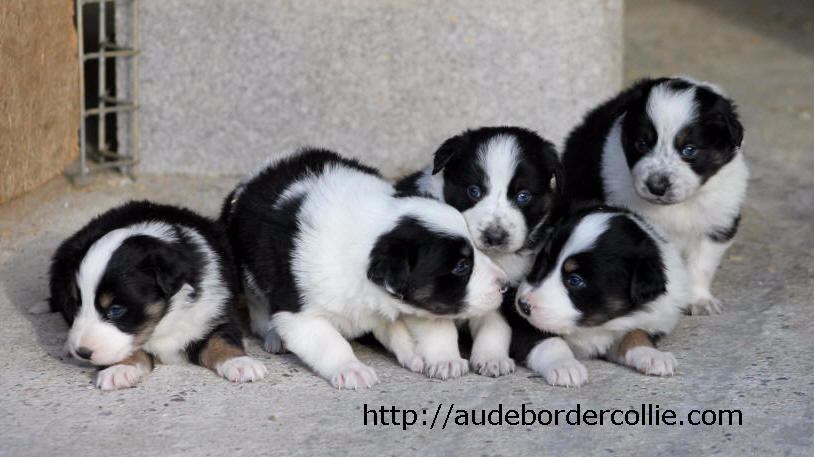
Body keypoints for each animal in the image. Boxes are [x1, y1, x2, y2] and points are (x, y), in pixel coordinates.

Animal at [48, 201, 268, 390]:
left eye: (116, 310)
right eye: (76, 304)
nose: (83, 352)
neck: (164, 322)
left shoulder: (215, 309)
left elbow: (222, 338)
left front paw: (241, 363)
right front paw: (119, 369)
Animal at [220, 150, 506, 388]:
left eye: (476, 250)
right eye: (461, 266)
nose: (504, 285)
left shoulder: (394, 306)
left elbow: (406, 331)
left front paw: (427, 357)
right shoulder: (300, 315)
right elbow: (329, 343)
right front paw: (352, 369)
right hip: (251, 275)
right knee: (259, 310)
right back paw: (273, 335)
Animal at [396, 126, 564, 376]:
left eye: (523, 196)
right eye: (474, 191)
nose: (495, 236)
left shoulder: (504, 291)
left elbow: (495, 325)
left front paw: (493, 359)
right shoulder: (421, 290)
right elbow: (438, 324)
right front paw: (446, 361)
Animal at [506, 206, 692, 384]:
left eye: (575, 280)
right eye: (543, 262)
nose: (523, 305)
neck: (595, 325)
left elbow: (636, 333)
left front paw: (652, 355)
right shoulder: (518, 320)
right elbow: (549, 342)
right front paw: (565, 366)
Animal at [564, 76, 748, 316]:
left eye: (689, 150)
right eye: (642, 144)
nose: (656, 186)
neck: (677, 206)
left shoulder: (718, 221)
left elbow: (702, 265)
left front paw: (699, 300)